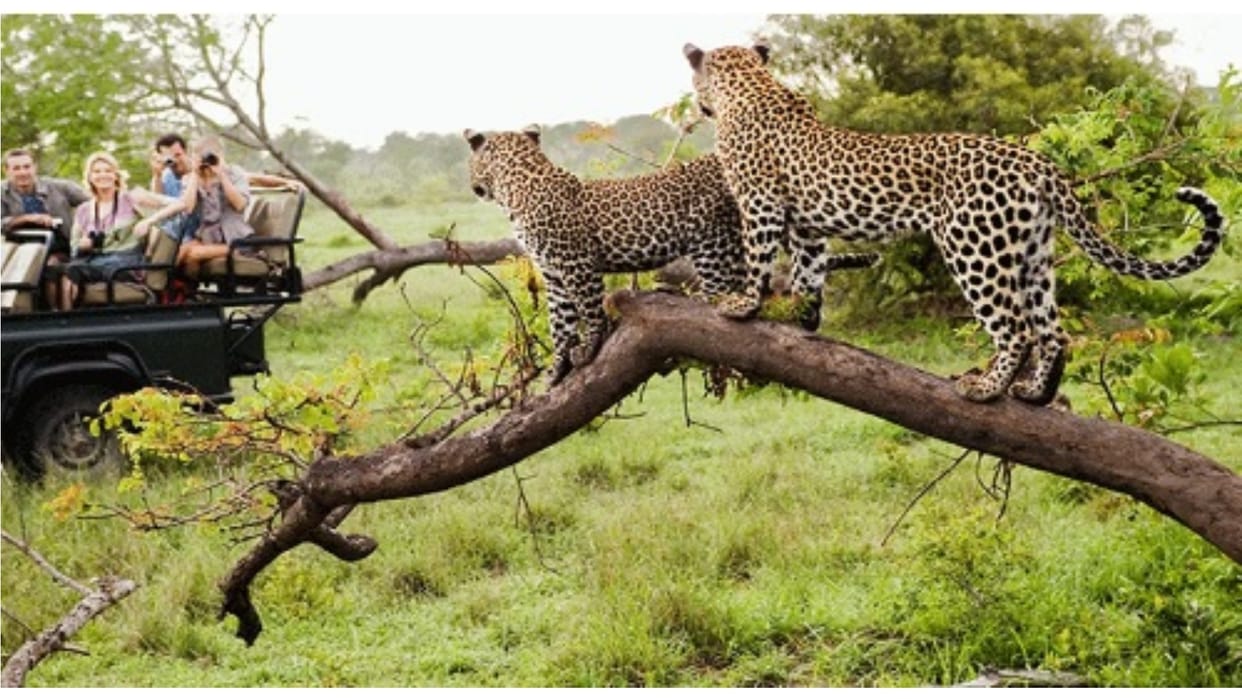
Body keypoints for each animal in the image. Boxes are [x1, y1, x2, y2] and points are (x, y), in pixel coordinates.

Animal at [464, 125, 877, 385]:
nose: (473, 187)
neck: (517, 185)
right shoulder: (552, 273)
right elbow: (560, 323)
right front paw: (555, 371)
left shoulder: (576, 264)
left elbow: (589, 311)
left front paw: (590, 347)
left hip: (712, 240)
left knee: (726, 293)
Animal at [682, 43, 1226, 406]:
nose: (698, 105)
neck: (750, 86)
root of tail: (1039, 163)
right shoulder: (808, 226)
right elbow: (809, 272)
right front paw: (803, 318)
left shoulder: (760, 204)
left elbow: (758, 258)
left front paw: (743, 305)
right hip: (1032, 253)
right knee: (1052, 331)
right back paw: (1033, 393)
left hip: (974, 247)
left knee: (1015, 329)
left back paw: (985, 388)